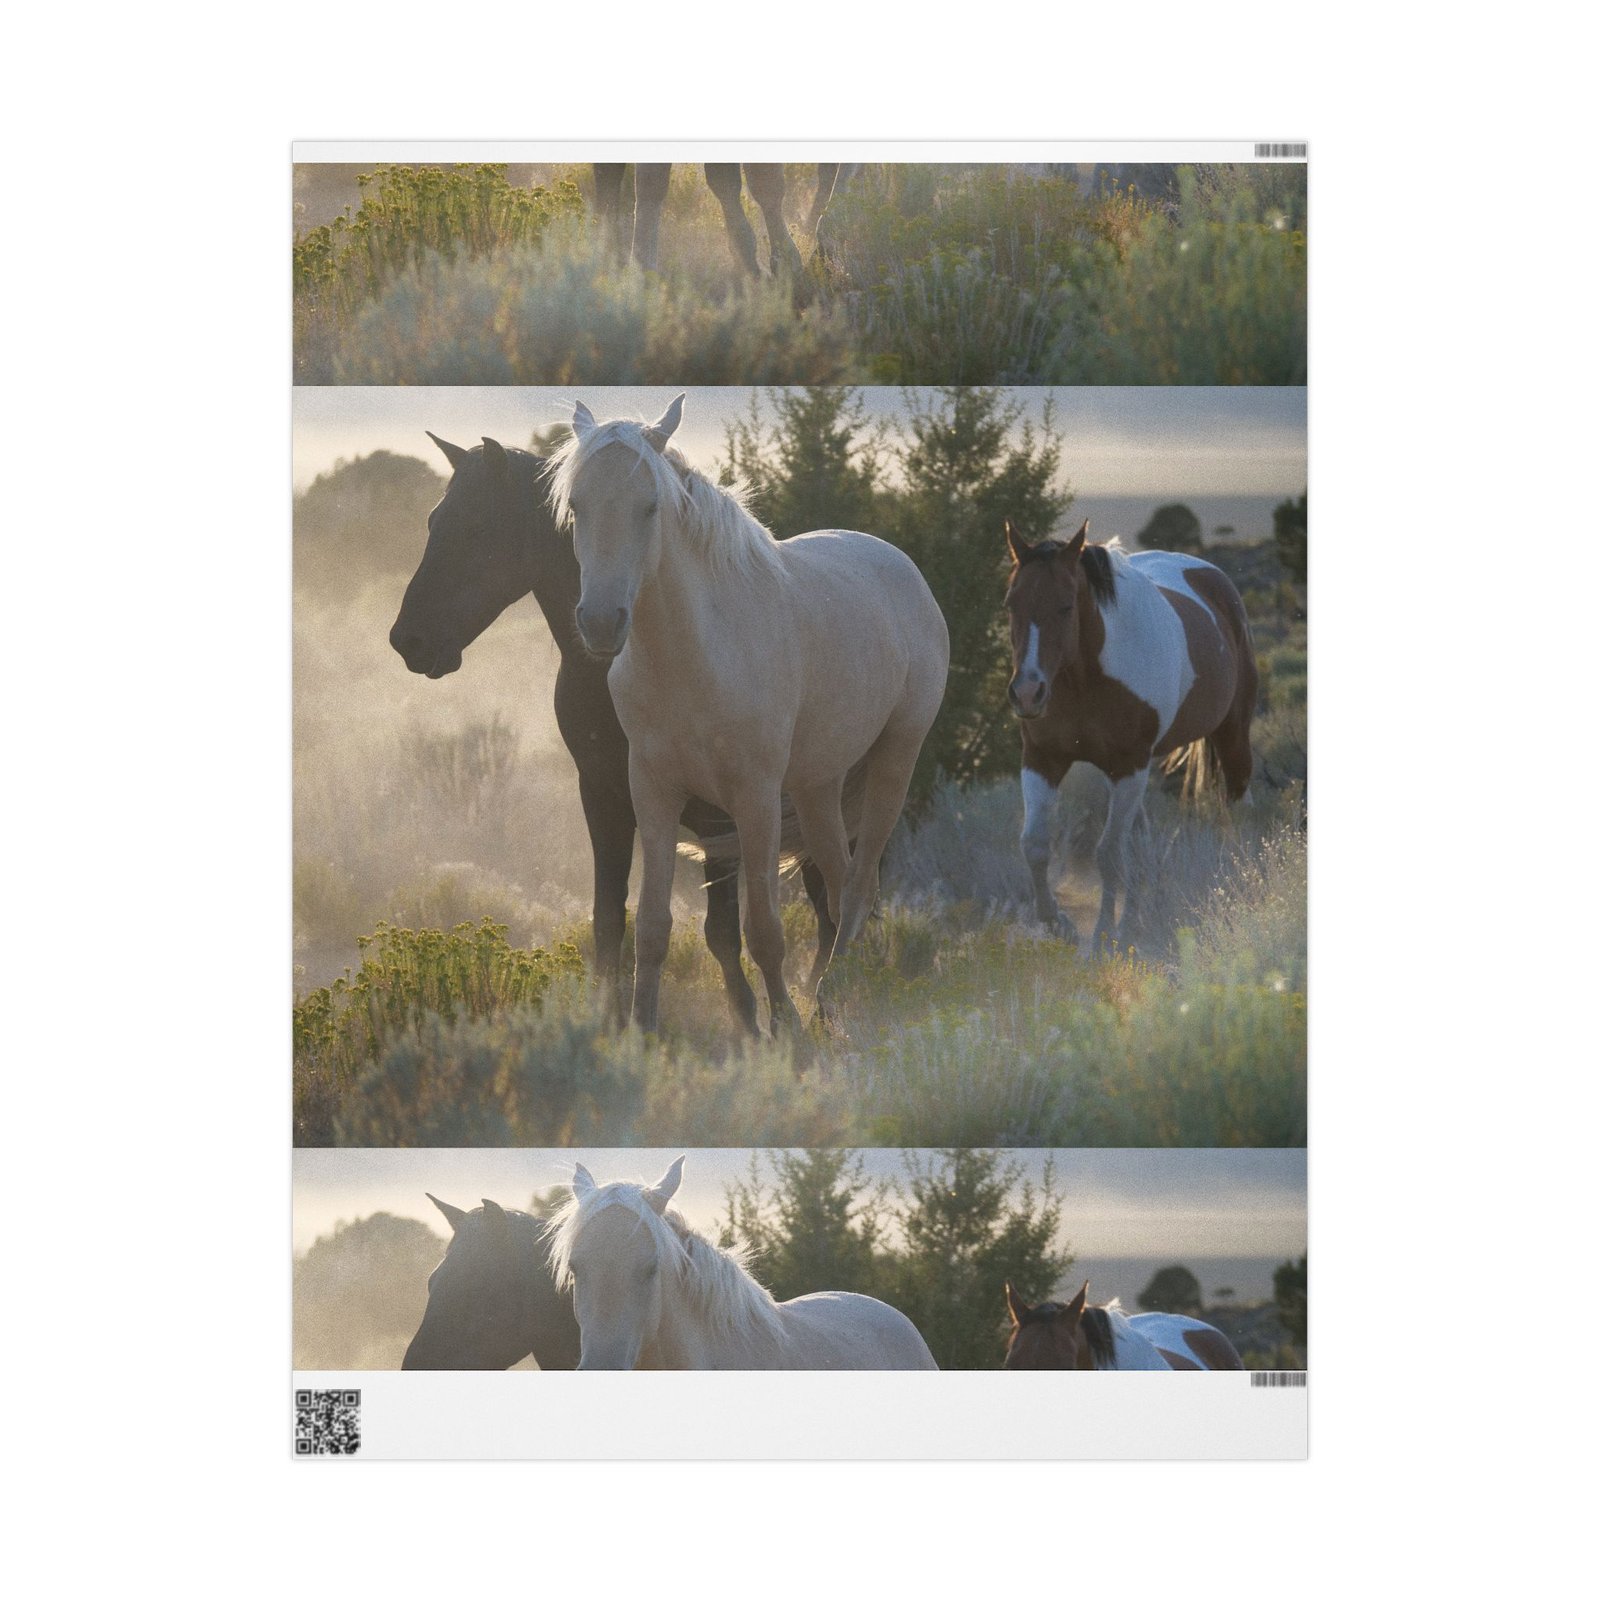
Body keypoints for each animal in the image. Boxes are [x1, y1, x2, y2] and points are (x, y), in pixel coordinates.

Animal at [551, 395, 950, 1032]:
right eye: (577, 507)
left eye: (650, 506)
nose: (601, 624)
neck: (696, 656)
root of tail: (903, 568)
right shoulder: (653, 792)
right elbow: (652, 928)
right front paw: (641, 1029)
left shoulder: (754, 798)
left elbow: (762, 930)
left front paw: (784, 1026)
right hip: (816, 785)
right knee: (839, 882)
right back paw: (833, 993)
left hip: (896, 758)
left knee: (860, 885)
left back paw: (832, 998)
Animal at [1002, 519, 1258, 946]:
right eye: (1011, 605)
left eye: (1066, 605)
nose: (1027, 692)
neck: (1085, 677)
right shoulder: (1042, 760)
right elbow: (1034, 845)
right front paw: (1061, 924)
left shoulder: (1128, 765)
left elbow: (1107, 853)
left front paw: (1105, 936)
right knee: (1139, 841)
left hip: (1232, 737)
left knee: (1237, 812)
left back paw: (1240, 881)